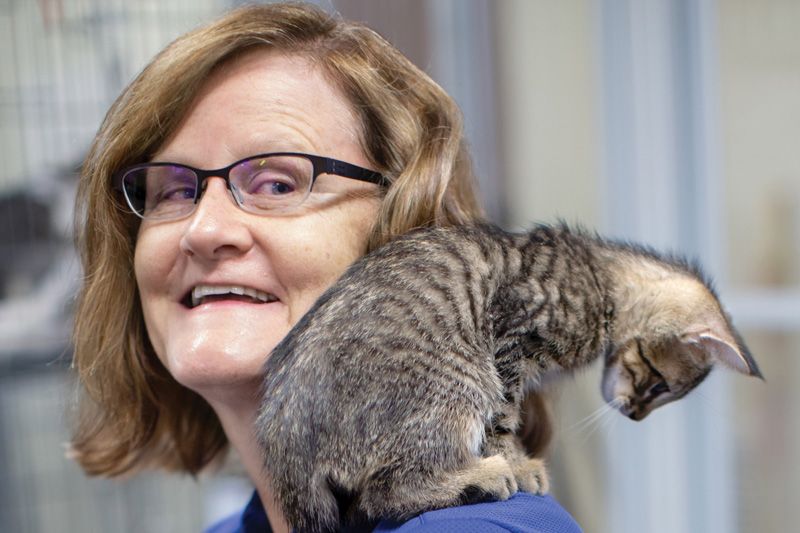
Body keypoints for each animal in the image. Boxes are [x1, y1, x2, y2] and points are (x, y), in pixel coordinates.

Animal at [255, 221, 756, 532]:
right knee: (387, 491)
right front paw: (515, 461)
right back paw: (481, 478)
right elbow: (504, 417)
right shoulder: (511, 339)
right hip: (458, 383)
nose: (634, 413)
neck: (602, 275)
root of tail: (284, 439)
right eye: (658, 383)